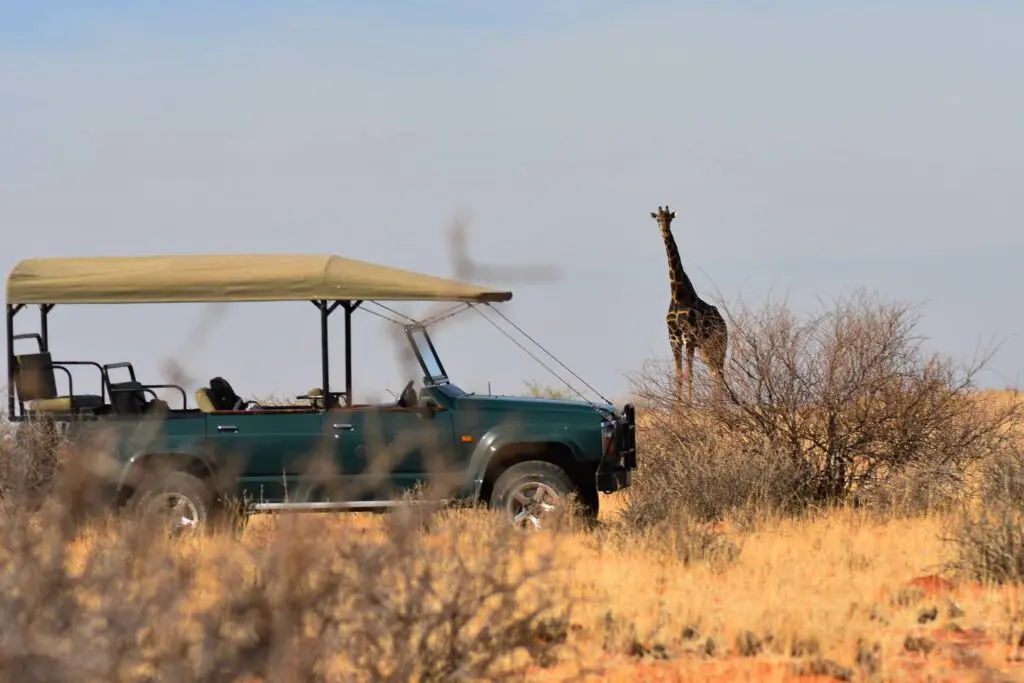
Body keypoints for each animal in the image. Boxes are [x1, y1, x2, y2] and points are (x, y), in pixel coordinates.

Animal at [650, 205, 728, 401]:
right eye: (658, 219)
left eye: (670, 219)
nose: (664, 231)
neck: (677, 295)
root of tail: (724, 323)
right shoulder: (673, 339)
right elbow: (679, 376)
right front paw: (677, 407)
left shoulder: (689, 339)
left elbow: (689, 375)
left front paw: (688, 406)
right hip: (705, 349)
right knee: (714, 372)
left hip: (719, 344)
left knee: (720, 372)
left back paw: (719, 405)